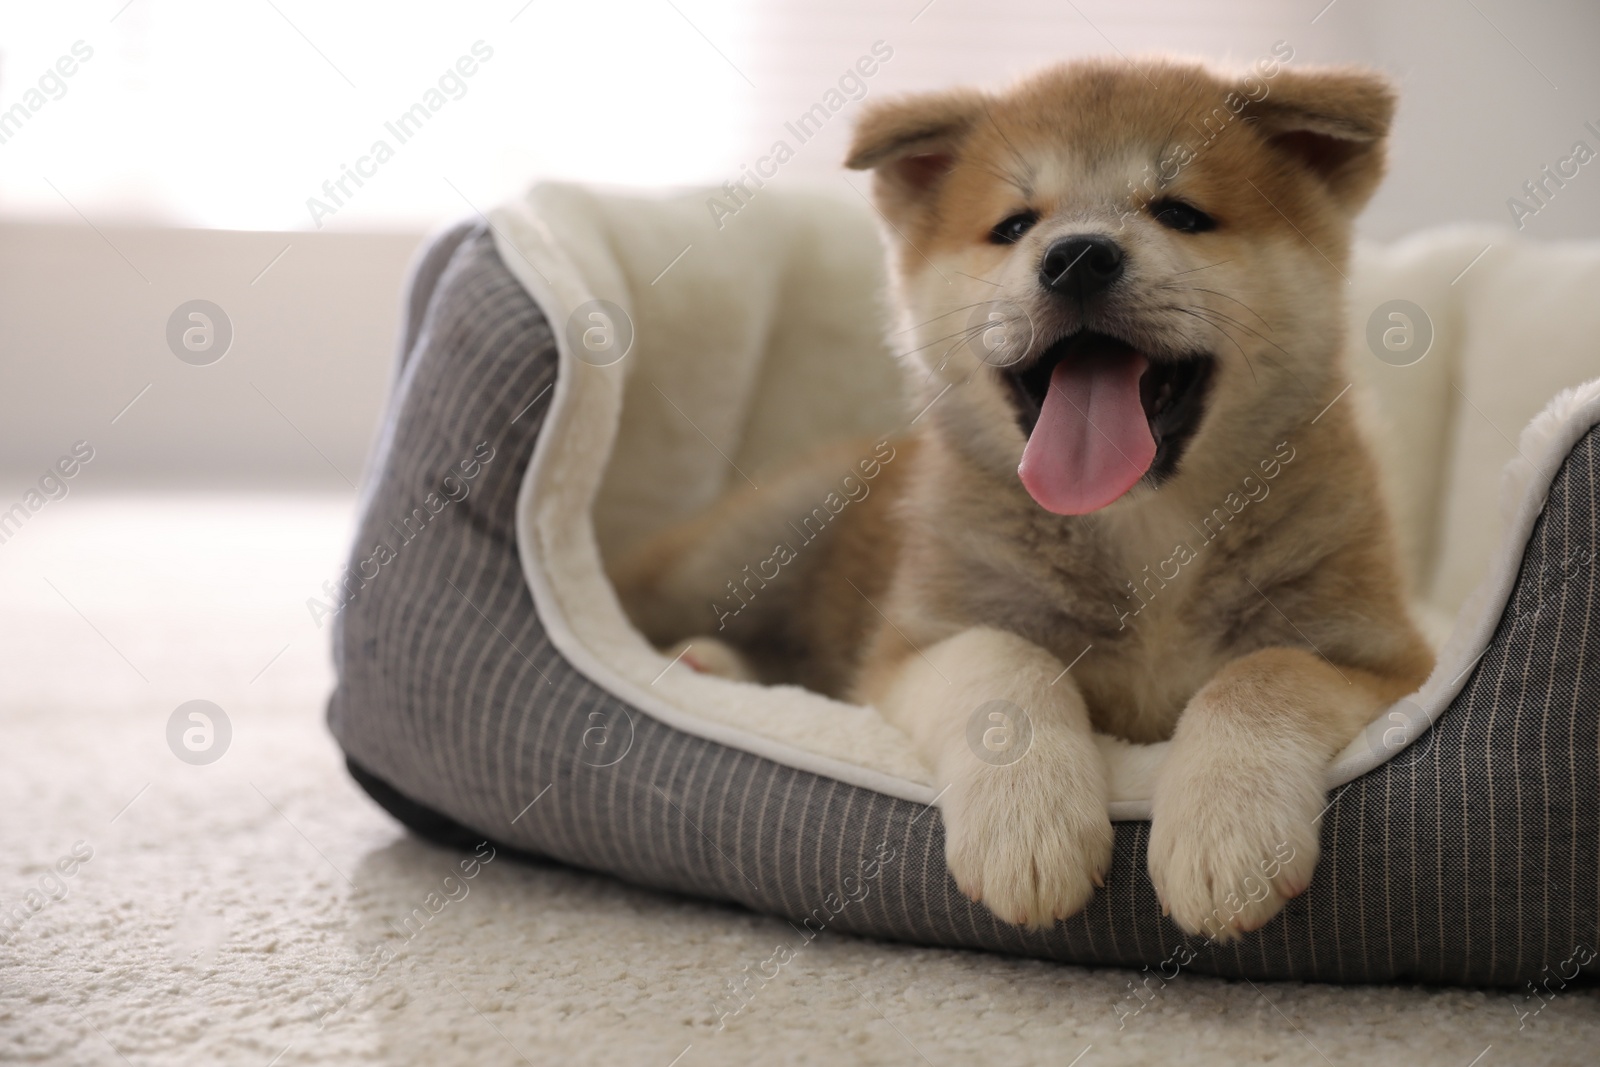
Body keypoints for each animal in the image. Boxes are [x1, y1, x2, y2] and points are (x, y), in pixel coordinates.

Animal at [614, 54, 1440, 940]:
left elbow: (1262, 673)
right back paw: (690, 656)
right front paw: (1028, 824)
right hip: (754, 543)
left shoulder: (1387, 658)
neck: (1143, 530)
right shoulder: (918, 644)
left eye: (1181, 213)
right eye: (1014, 225)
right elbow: (1004, 662)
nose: (1077, 256)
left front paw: (1227, 827)